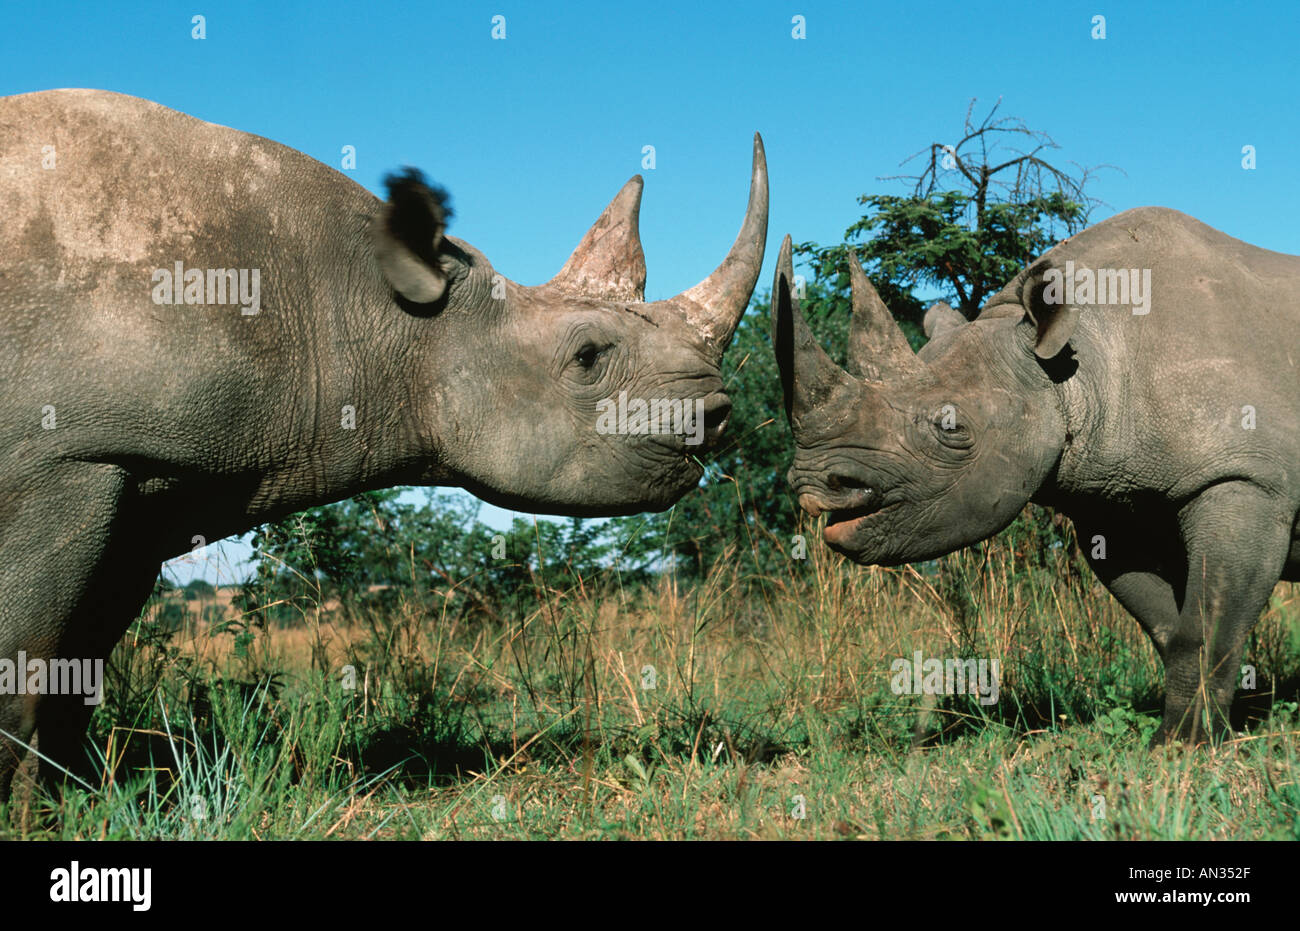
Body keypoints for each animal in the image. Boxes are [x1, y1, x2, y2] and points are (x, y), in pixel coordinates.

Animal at [0, 89, 767, 797]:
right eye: (586, 358)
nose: (717, 412)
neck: (373, 310)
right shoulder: (64, 455)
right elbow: (25, 662)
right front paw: (33, 814)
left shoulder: (140, 470)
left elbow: (79, 662)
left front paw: (72, 802)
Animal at [769, 211, 1300, 745]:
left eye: (951, 428)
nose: (816, 486)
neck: (1078, 364)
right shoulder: (1112, 503)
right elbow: (1169, 628)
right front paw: (1184, 734)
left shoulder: (1246, 479)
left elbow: (1205, 627)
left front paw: (1181, 746)